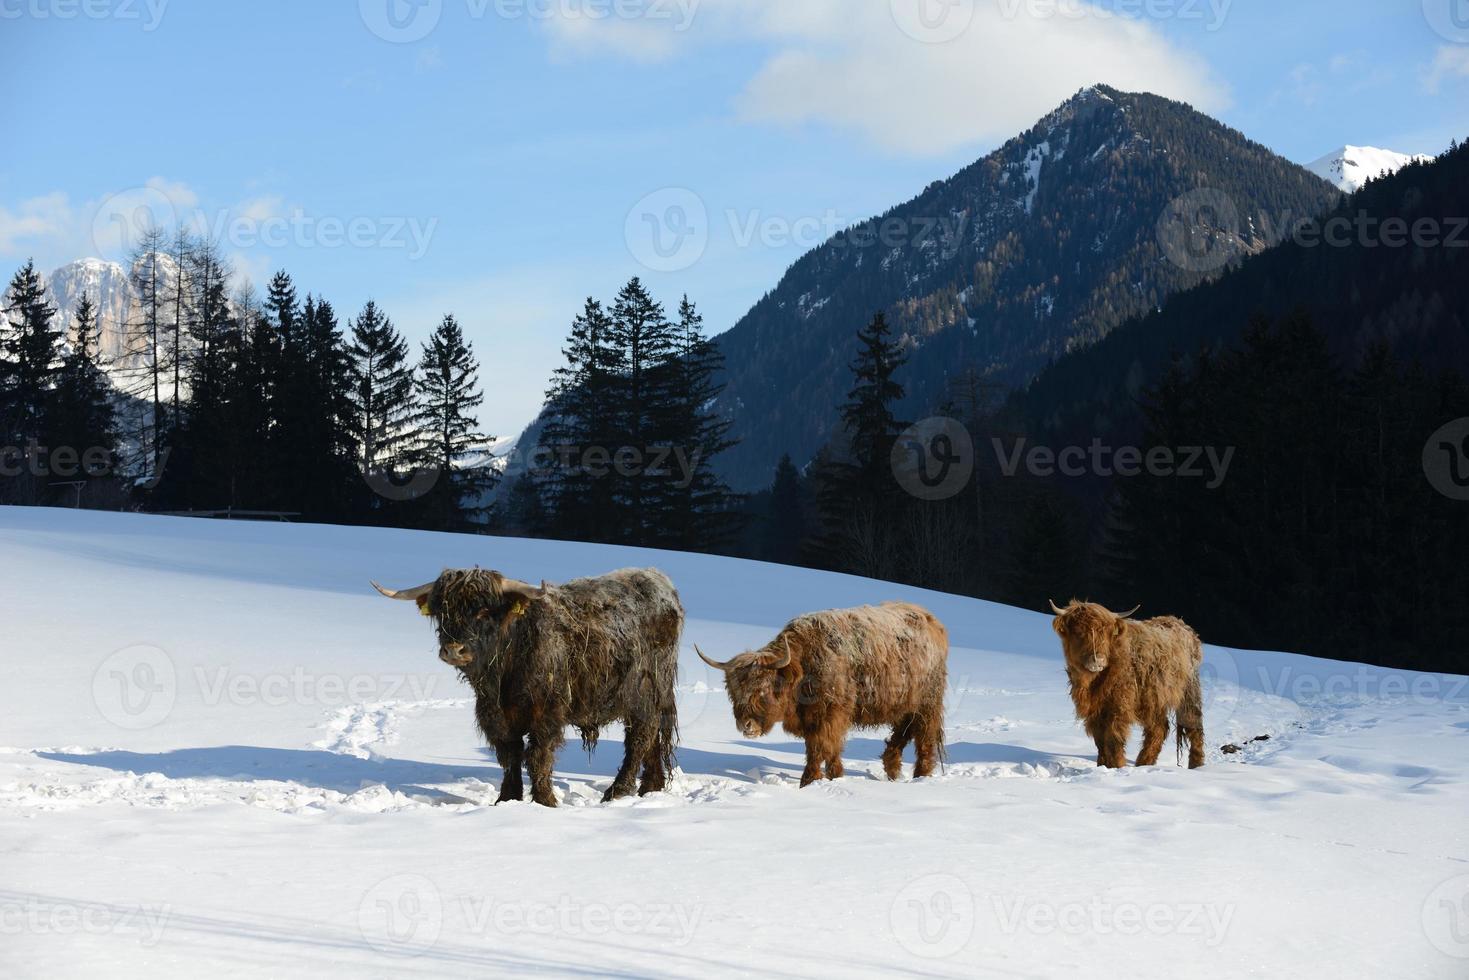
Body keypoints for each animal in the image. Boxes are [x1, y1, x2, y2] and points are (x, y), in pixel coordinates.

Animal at [373, 567, 681, 805]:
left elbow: (537, 757)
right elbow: (509, 756)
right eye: (442, 611)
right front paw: (507, 799)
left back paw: (617, 791)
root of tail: (661, 581)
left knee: (640, 737)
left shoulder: (546, 714)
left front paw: (545, 801)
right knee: (652, 738)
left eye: (484, 611)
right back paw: (650, 787)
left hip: (644, 692)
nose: (453, 650)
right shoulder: (495, 717)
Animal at [693, 602, 946, 793]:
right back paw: (892, 769)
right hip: (904, 704)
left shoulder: (829, 715)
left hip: (928, 703)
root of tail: (932, 621)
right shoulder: (818, 718)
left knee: (924, 736)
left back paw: (921, 775)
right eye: (733, 691)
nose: (746, 725)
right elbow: (827, 748)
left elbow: (819, 748)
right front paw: (836, 776)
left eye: (763, 688)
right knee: (903, 731)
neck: (803, 669)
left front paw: (809, 781)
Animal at [1057, 599, 1204, 775]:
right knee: (1159, 728)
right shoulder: (1095, 711)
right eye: (1078, 632)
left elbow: (1113, 738)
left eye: (1105, 632)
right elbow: (1100, 740)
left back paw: (1197, 766)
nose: (1098, 660)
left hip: (1188, 691)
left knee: (1193, 724)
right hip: (1155, 699)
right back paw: (1144, 763)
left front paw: (1116, 766)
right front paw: (1102, 766)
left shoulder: (1119, 706)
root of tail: (1182, 624)